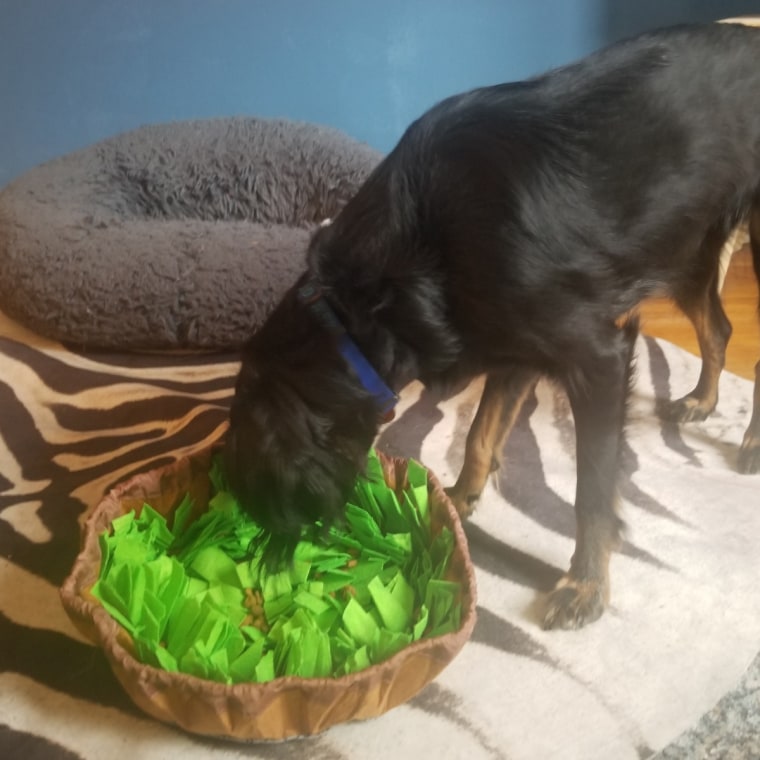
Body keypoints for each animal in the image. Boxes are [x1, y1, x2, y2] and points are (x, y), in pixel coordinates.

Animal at [226, 23, 760, 628]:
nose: (268, 560)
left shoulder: (596, 353)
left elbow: (591, 490)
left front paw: (586, 584)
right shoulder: (516, 348)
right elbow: (480, 434)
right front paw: (457, 502)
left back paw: (750, 440)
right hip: (686, 247)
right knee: (718, 328)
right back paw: (702, 400)